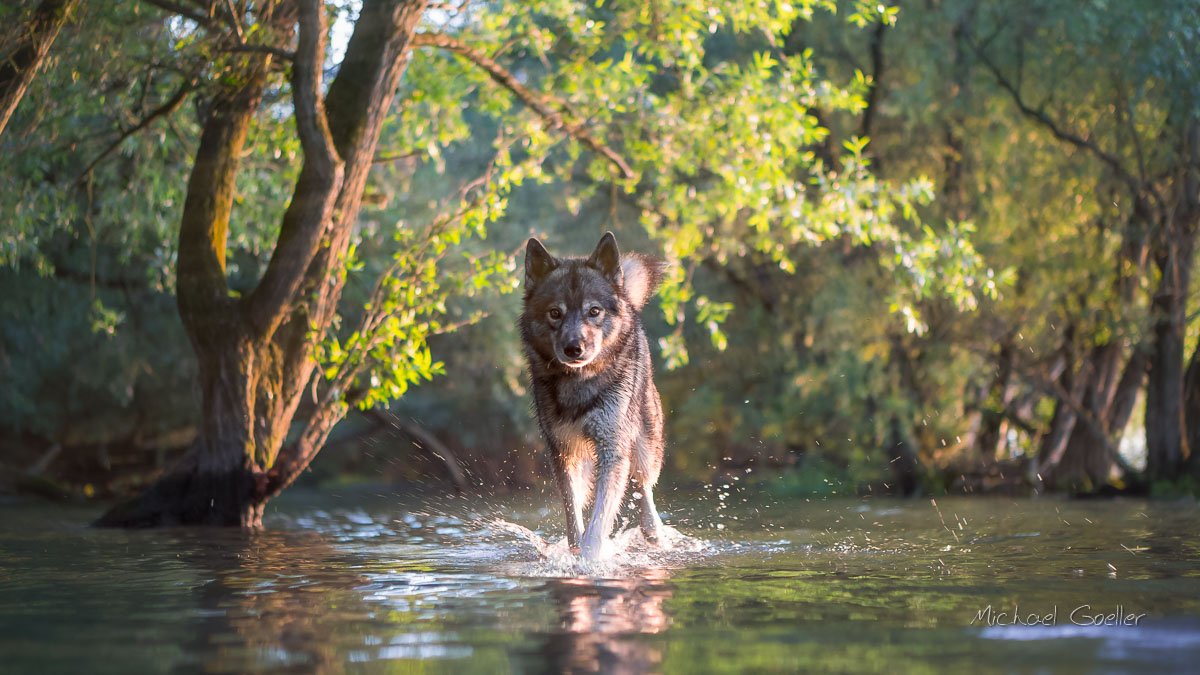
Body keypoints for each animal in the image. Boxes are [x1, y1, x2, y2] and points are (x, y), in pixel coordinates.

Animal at [520, 230, 672, 557]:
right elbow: (572, 515)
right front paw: (575, 553)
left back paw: (654, 531)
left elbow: (599, 521)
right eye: (555, 313)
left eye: (594, 311)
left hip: (644, 442)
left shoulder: (612, 449)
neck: (580, 382)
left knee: (643, 485)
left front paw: (590, 559)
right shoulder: (563, 453)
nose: (573, 349)